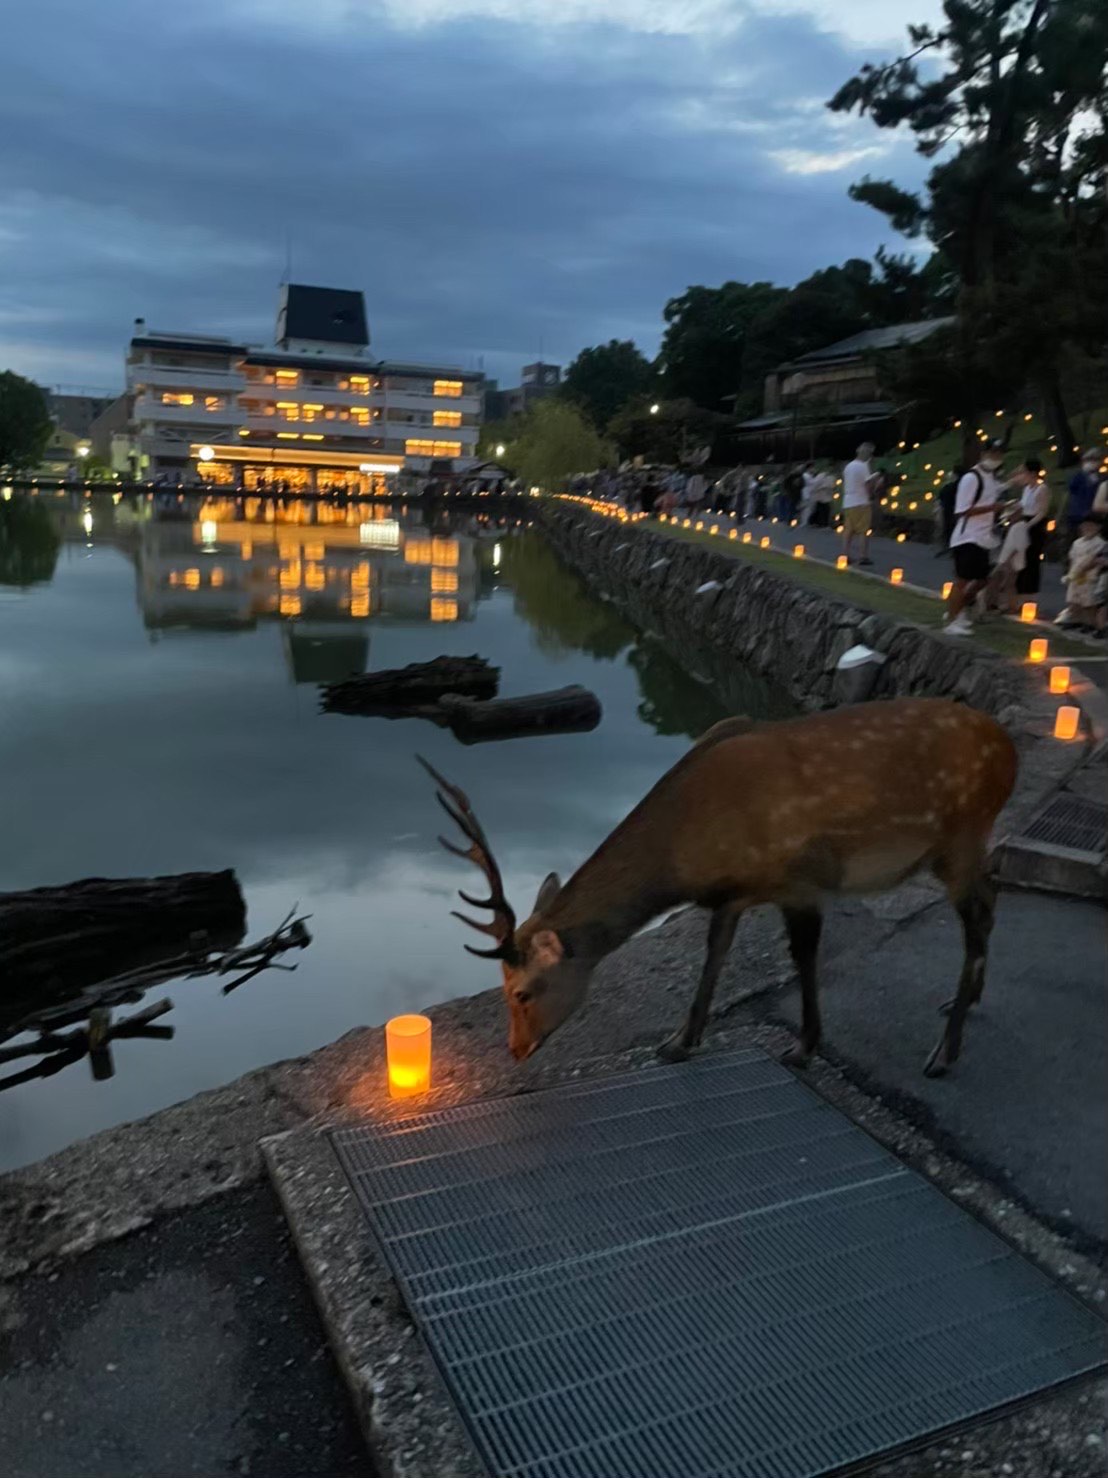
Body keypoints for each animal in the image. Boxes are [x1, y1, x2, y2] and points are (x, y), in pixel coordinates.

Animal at [419, 691, 1022, 1075]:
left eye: (520, 992)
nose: (515, 1050)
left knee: (979, 915)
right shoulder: (732, 895)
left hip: (961, 836)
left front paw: (804, 1046)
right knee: (993, 898)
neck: (692, 852)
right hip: (966, 846)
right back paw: (961, 1002)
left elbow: (804, 959)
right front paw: (679, 1042)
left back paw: (944, 1053)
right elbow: (713, 957)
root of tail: (1009, 747)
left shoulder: (799, 880)